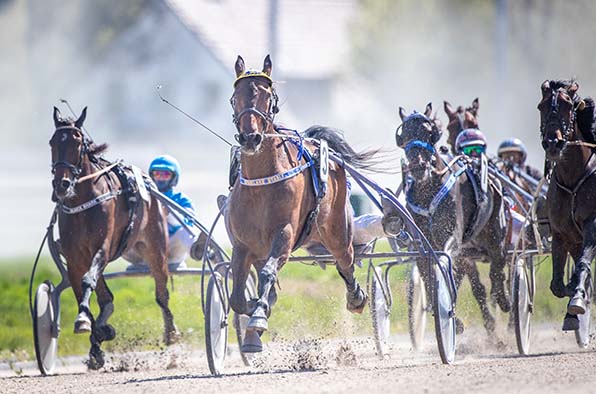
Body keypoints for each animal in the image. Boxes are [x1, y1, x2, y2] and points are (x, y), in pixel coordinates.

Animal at [49, 106, 178, 368]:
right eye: (52, 143)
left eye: (78, 143)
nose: (62, 184)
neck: (83, 202)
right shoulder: (75, 257)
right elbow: (83, 290)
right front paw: (96, 335)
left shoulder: (103, 247)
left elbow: (88, 280)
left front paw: (89, 324)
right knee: (106, 297)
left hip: (155, 246)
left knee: (162, 293)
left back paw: (171, 334)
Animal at [224, 54, 382, 350]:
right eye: (235, 97)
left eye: (268, 96)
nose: (250, 138)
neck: (262, 183)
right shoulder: (242, 245)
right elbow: (237, 297)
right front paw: (256, 308)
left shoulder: (284, 236)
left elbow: (269, 273)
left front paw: (259, 315)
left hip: (337, 230)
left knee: (346, 260)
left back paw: (356, 297)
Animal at [388, 102, 510, 336]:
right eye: (404, 135)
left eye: (429, 132)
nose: (417, 165)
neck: (428, 192)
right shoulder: (422, 244)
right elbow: (427, 276)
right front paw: (452, 318)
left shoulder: (451, 238)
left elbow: (445, 268)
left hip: (494, 231)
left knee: (497, 264)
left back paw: (504, 299)